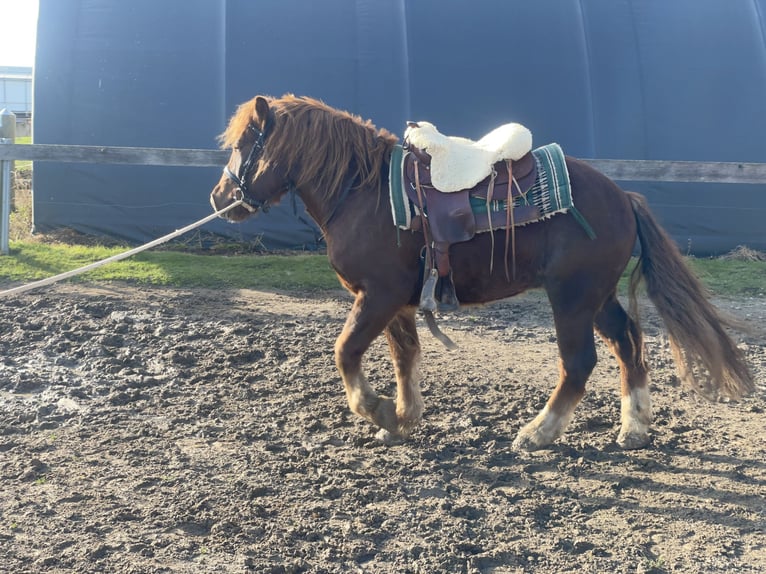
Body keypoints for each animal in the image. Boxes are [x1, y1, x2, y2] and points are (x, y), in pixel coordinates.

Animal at [210, 95, 756, 454]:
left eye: (245, 143)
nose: (220, 198)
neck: (363, 192)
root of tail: (624, 197)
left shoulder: (377, 296)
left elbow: (345, 351)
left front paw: (378, 410)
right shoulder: (396, 302)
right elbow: (406, 357)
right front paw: (403, 418)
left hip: (572, 298)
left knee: (578, 362)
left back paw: (538, 433)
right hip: (598, 297)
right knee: (628, 343)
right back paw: (634, 427)